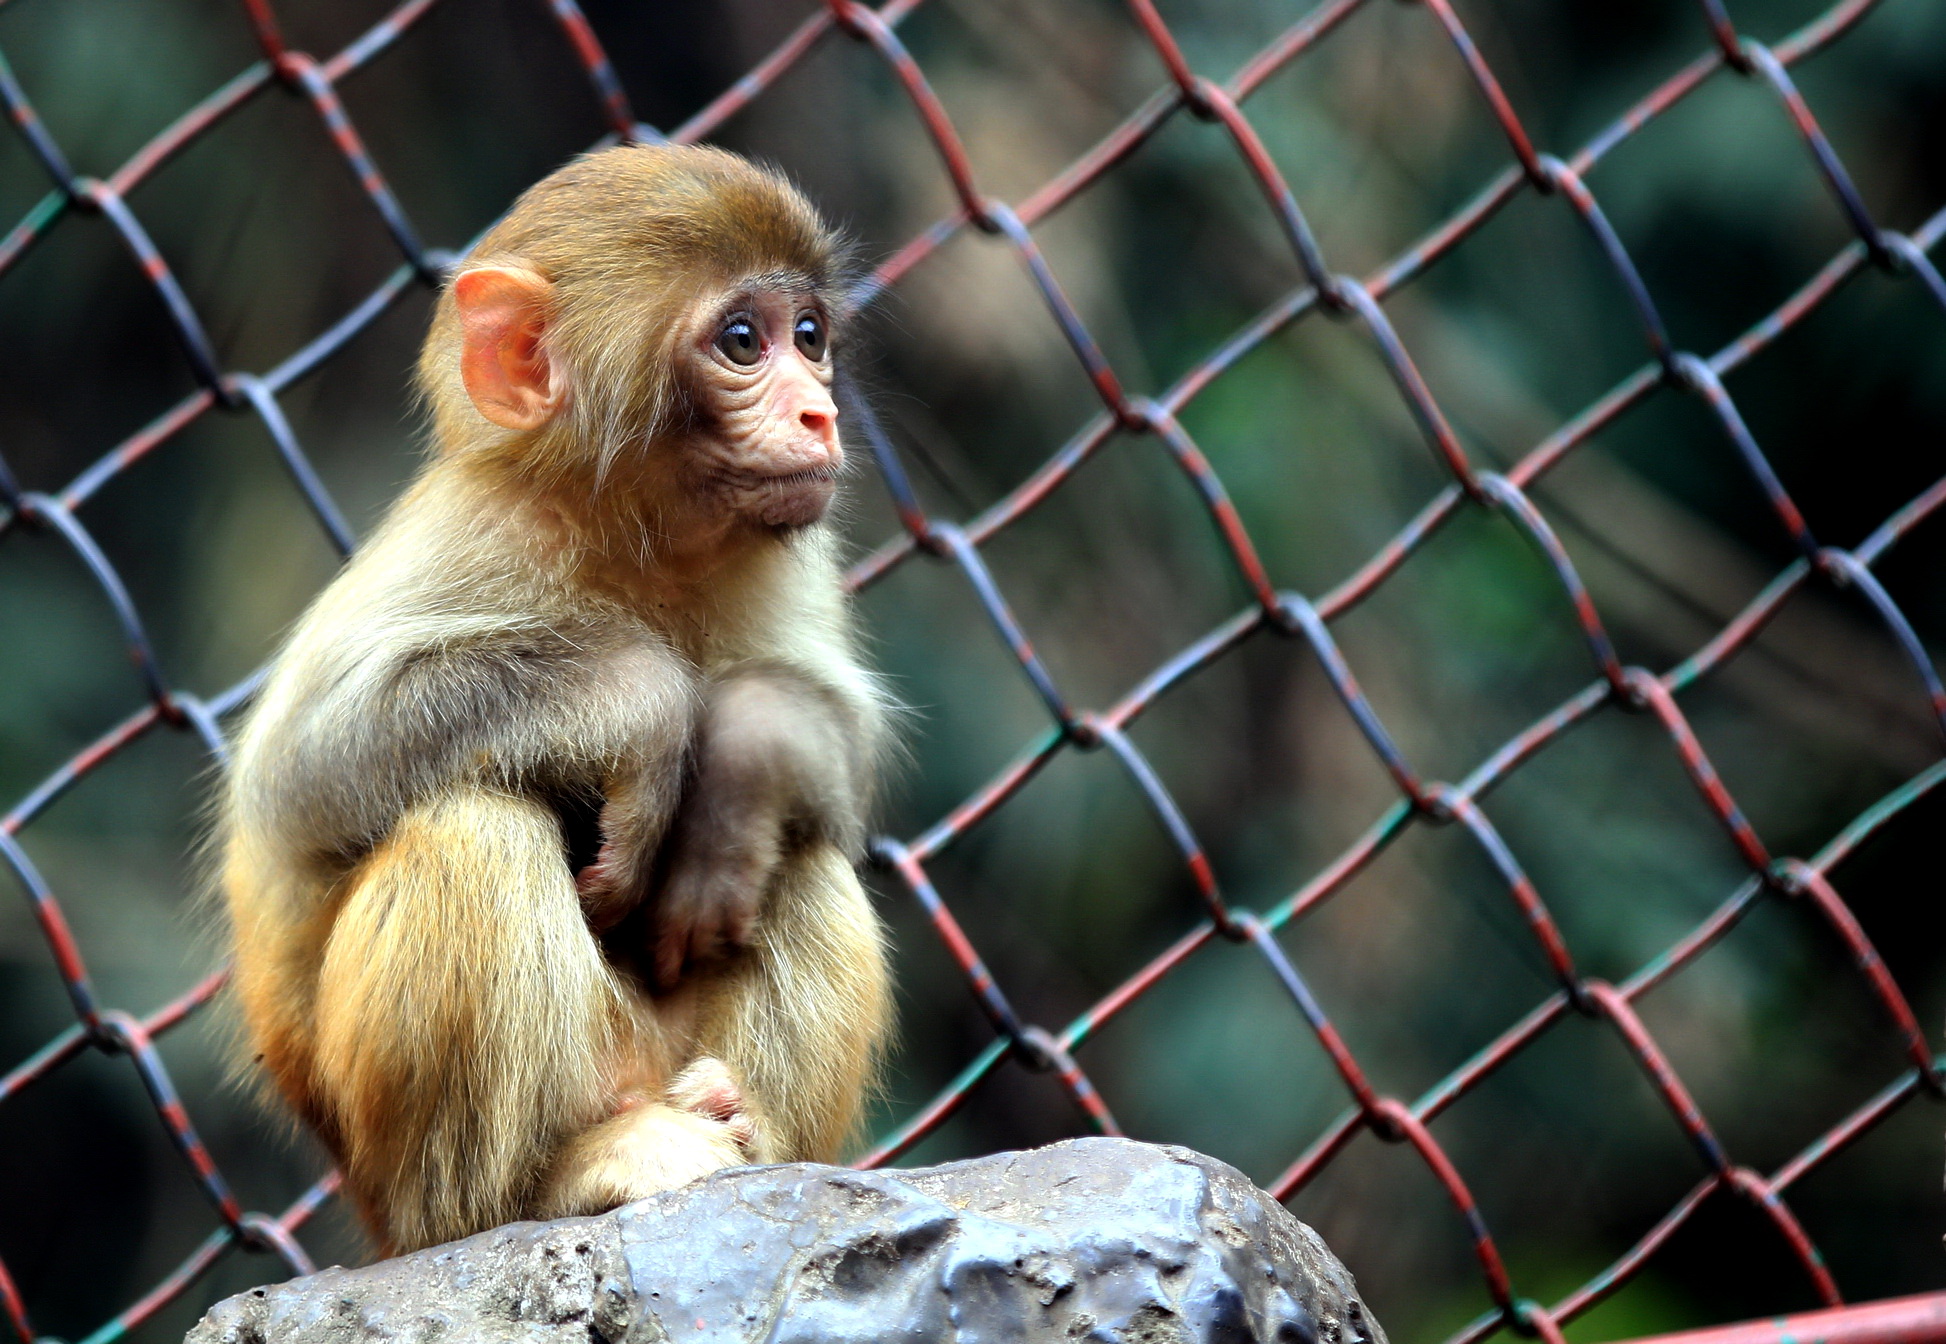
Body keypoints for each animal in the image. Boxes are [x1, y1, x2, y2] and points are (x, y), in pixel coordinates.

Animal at [218, 146, 895, 1260]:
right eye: (742, 341)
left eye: (810, 336)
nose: (819, 413)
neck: (636, 543)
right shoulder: (470, 533)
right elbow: (301, 773)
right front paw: (642, 704)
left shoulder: (791, 553)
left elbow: (837, 742)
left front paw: (737, 762)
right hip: (414, 1172)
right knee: (473, 830)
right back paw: (542, 1183)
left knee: (803, 852)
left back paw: (746, 1125)